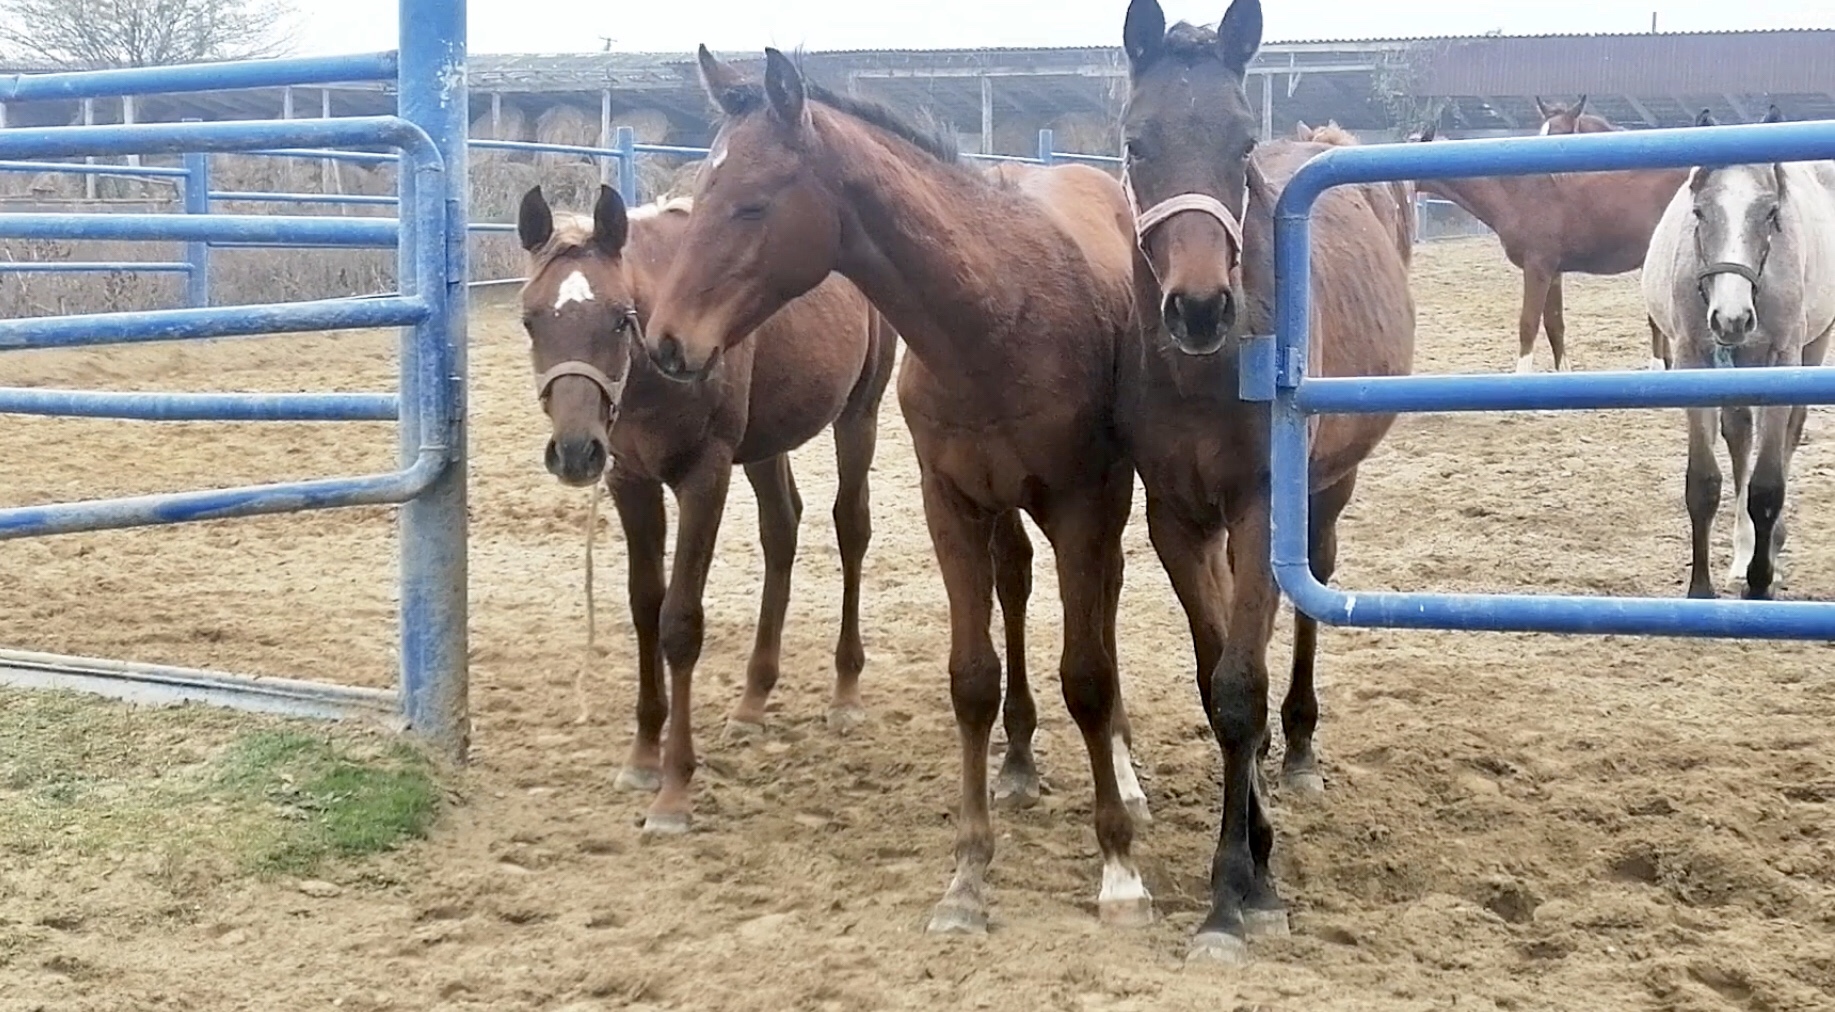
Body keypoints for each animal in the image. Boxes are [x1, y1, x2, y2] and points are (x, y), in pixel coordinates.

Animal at [517, 186, 895, 833]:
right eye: (530, 320)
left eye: (619, 318)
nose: (574, 451)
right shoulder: (631, 480)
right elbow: (645, 607)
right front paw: (642, 757)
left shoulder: (704, 476)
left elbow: (680, 621)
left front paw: (673, 789)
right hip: (767, 442)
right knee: (782, 530)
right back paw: (752, 701)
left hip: (858, 417)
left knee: (851, 529)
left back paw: (846, 692)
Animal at [645, 45, 1152, 933]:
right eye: (701, 194)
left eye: (752, 204)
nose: (668, 344)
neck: (996, 317)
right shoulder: (948, 502)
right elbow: (972, 679)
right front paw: (967, 878)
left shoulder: (1081, 503)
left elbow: (1087, 675)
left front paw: (1118, 867)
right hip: (1002, 508)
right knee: (1015, 585)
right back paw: (1018, 759)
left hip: (1098, 507)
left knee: (1106, 607)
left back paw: (1120, 768)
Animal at [1115, 0, 1416, 969]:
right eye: (1135, 142)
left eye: (1240, 139)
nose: (1198, 307)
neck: (1207, 373)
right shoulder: (1177, 521)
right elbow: (1215, 677)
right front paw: (1255, 857)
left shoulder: (1255, 512)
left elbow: (1241, 688)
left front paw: (1234, 894)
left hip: (1323, 493)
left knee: (1311, 594)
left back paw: (1303, 746)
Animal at [1644, 106, 1835, 602]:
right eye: (1698, 211)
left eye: (1771, 212)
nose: (1732, 318)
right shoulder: (1692, 358)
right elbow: (1704, 481)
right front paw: (1701, 589)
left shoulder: (1784, 359)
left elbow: (1767, 485)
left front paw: (1761, 583)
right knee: (1739, 435)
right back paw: (1740, 554)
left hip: (1811, 349)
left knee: (1787, 436)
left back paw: (1767, 555)